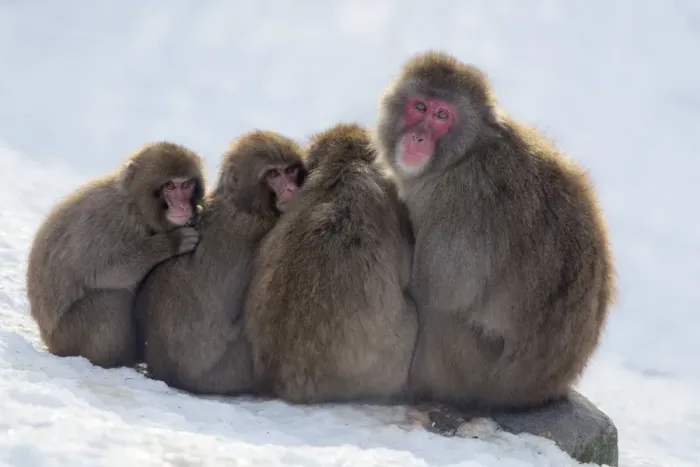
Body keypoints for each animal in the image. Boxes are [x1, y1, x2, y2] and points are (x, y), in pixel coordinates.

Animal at [26, 141, 205, 369]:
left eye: (187, 185)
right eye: (170, 187)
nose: (183, 206)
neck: (136, 206)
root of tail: (49, 340)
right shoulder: (110, 221)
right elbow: (103, 271)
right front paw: (171, 242)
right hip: (68, 336)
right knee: (110, 297)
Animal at [134, 130, 307, 395]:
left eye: (290, 170)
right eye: (274, 174)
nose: (290, 187)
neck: (241, 204)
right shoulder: (262, 227)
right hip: (229, 372)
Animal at [373, 50, 616, 411]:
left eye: (442, 115)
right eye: (419, 106)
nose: (418, 137)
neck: (464, 154)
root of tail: (542, 390)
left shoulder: (460, 198)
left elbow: (440, 291)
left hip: (467, 368)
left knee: (438, 316)